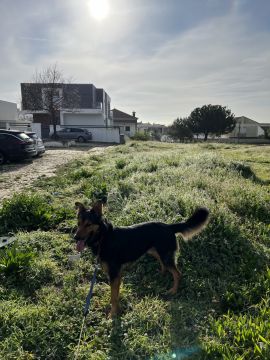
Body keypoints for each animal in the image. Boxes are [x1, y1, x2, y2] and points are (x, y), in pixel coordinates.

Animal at [74, 201, 209, 316]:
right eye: (78, 223)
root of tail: (169, 226)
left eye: (88, 224)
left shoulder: (114, 274)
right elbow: (114, 294)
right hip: (154, 251)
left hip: (165, 255)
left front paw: (113, 314)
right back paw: (161, 274)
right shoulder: (115, 275)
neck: (103, 237)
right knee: (164, 265)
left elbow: (113, 296)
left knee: (177, 274)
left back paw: (173, 290)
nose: (75, 237)